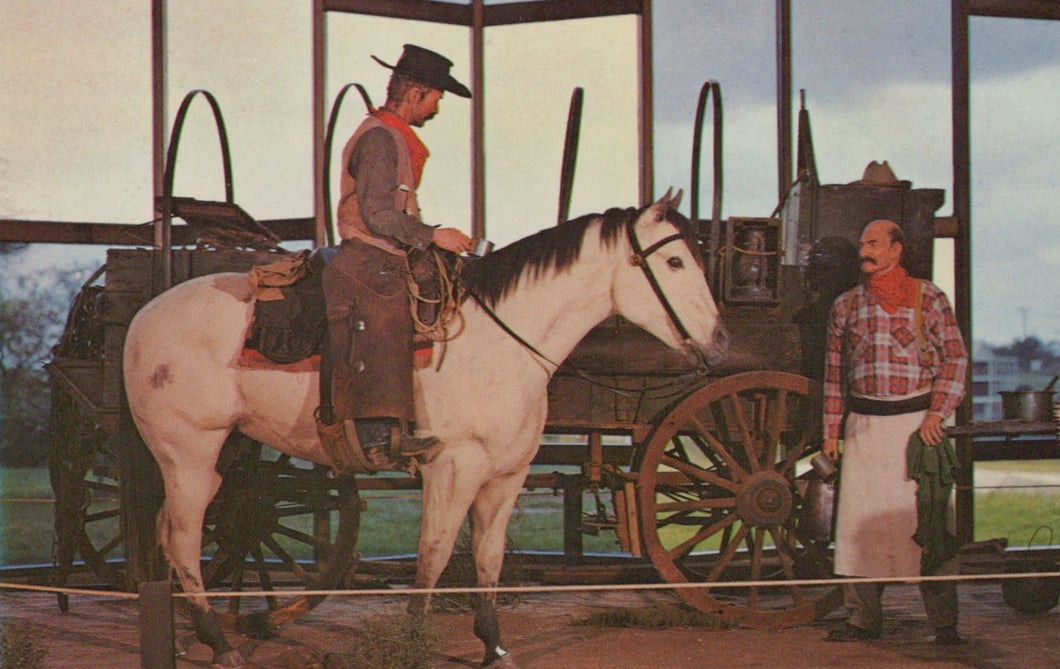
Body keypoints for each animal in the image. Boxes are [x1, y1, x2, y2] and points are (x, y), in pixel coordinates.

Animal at [121, 190, 729, 665]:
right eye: (675, 262)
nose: (721, 341)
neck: (501, 343)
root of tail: (142, 317)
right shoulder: (453, 468)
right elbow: (433, 556)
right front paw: (414, 640)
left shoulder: (507, 476)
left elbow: (488, 558)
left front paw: (494, 647)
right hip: (189, 454)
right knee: (184, 537)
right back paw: (221, 644)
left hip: (214, 455)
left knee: (166, 533)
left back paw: (178, 640)